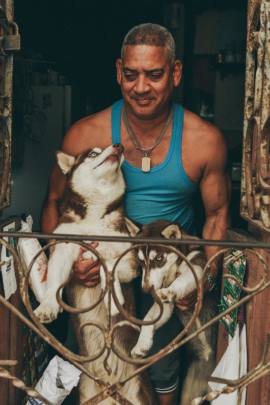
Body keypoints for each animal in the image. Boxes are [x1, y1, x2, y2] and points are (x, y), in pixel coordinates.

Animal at [34, 144, 152, 404]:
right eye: (92, 154)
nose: (118, 146)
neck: (94, 217)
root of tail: (110, 386)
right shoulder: (63, 249)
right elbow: (54, 282)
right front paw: (47, 306)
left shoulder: (128, 261)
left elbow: (109, 263)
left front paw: (113, 299)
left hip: (139, 394)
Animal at [130, 221, 217, 404]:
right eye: (140, 261)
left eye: (158, 258)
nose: (145, 289)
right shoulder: (166, 307)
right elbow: (149, 318)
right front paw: (142, 344)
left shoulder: (197, 269)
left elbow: (181, 281)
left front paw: (171, 290)